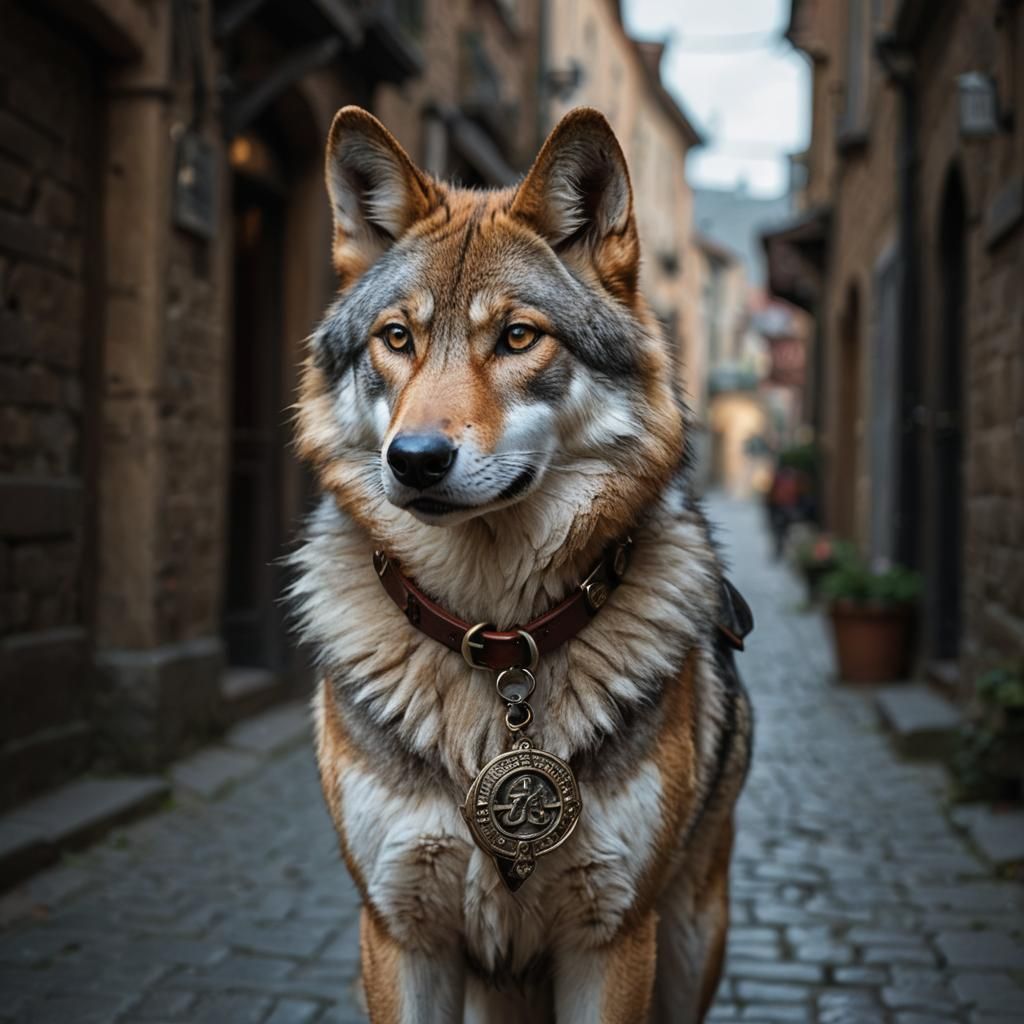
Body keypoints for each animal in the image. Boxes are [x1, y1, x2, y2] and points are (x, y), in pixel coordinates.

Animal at [291, 105, 753, 1023]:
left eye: (515, 337)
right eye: (397, 338)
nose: (415, 460)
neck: (495, 635)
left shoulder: (612, 938)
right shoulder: (399, 931)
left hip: (691, 944)